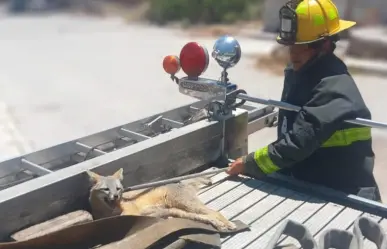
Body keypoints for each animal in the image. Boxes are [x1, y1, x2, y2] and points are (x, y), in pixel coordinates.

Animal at [87, 167, 236, 231]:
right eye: (106, 189)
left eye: (118, 189)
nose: (116, 197)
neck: (108, 212)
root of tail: (180, 183)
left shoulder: (131, 211)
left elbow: (126, 216)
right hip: (181, 212)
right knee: (206, 217)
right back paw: (219, 224)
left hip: (188, 206)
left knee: (214, 212)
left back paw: (228, 223)